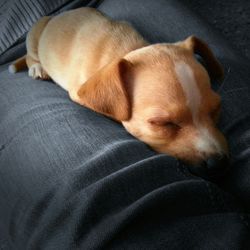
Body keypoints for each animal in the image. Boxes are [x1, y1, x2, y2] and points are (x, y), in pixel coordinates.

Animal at [9, 6, 229, 173]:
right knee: (30, 55)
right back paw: (37, 67)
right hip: (35, 34)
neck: (128, 50)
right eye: (163, 124)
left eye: (216, 109)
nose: (218, 163)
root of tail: (56, 16)